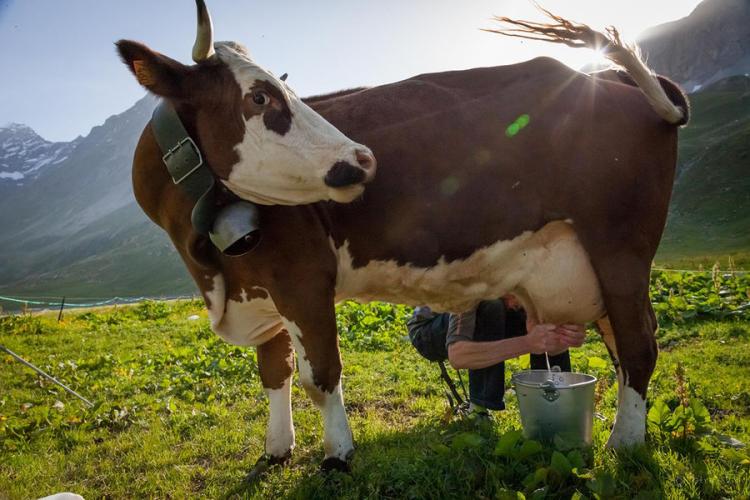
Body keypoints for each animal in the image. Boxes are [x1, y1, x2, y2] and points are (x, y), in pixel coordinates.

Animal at [119, 1, 692, 472]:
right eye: (259, 96)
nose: (364, 158)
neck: (209, 266)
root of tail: (611, 78)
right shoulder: (258, 288)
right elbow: (274, 372)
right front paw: (277, 449)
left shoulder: (302, 278)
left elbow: (319, 374)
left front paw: (338, 455)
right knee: (624, 346)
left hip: (620, 246)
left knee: (640, 345)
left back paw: (625, 444)